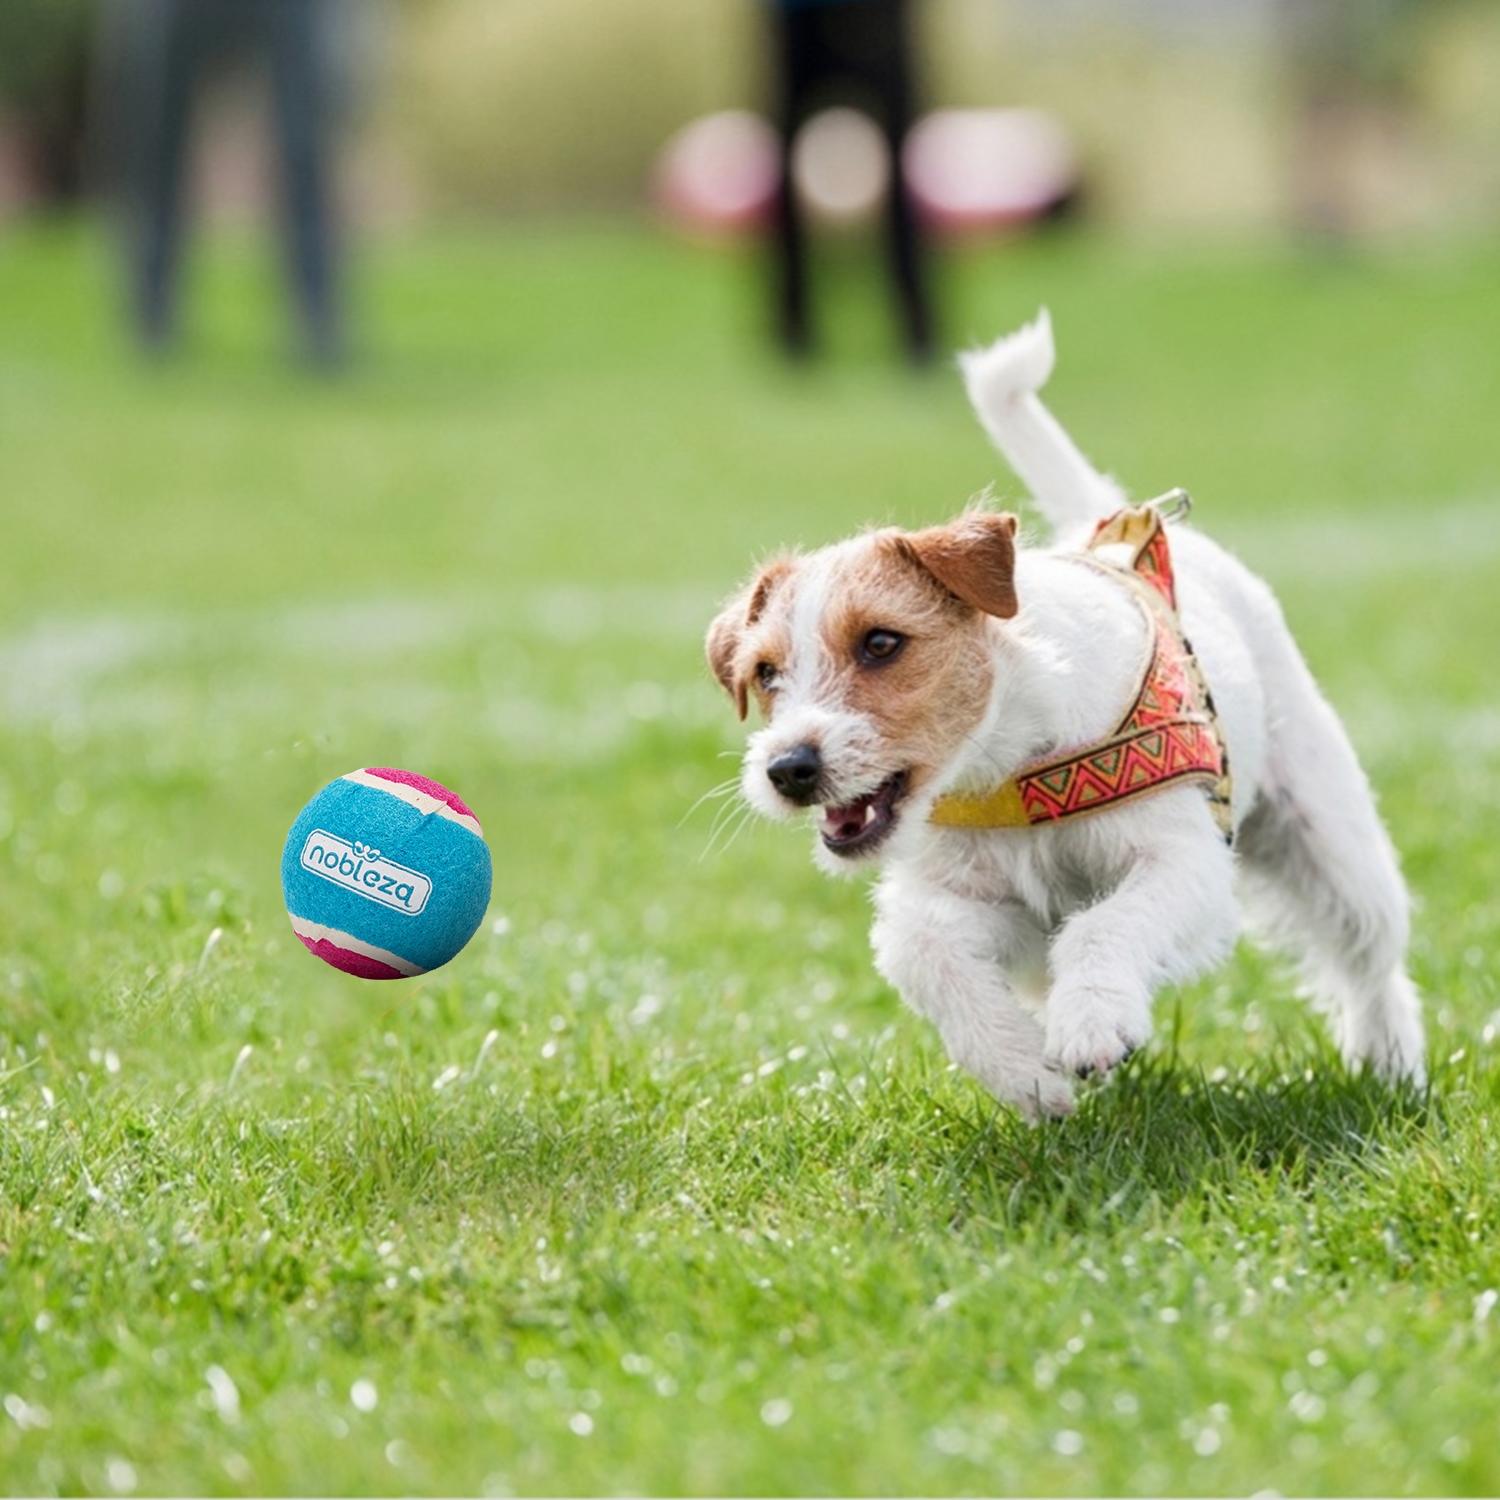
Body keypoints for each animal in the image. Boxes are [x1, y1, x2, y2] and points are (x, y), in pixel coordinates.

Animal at [705, 313, 1428, 1116]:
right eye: (766, 673)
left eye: (882, 642)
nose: (787, 769)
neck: (1012, 765)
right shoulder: (979, 901)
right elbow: (923, 950)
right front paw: (1024, 1070)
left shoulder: (1183, 863)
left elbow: (1104, 925)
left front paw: (1091, 1025)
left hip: (1330, 839)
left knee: (1371, 958)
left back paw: (1390, 1063)